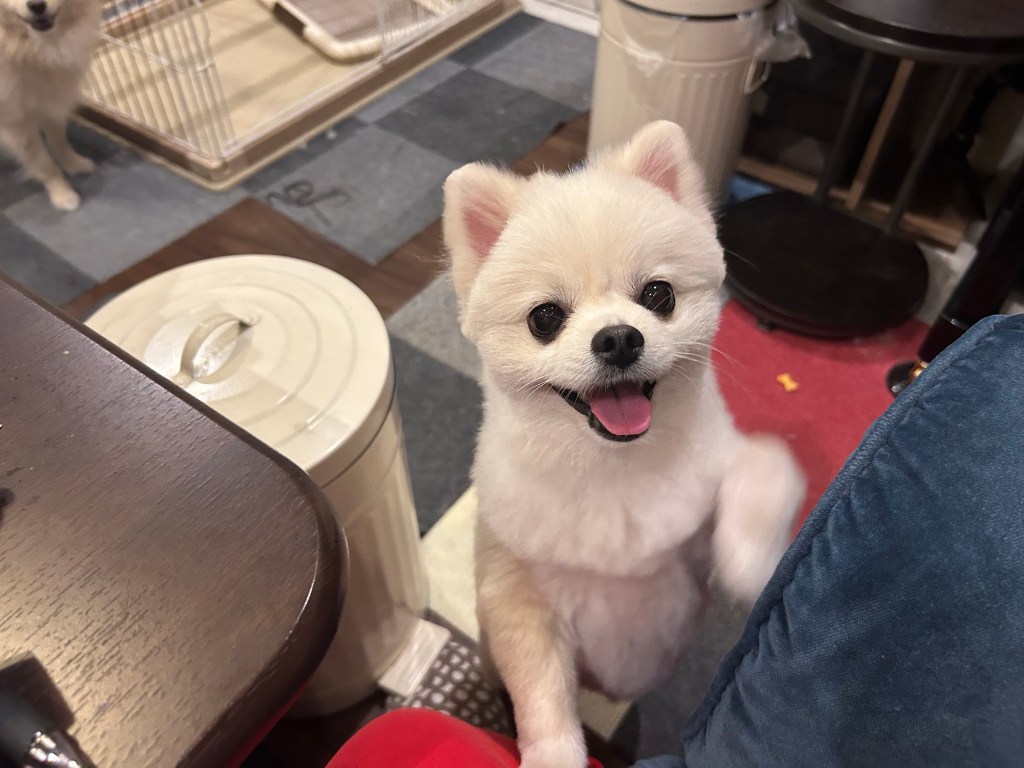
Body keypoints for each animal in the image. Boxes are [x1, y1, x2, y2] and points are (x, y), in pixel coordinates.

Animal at [1, 0, 100, 210]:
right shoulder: (17, 124)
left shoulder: (50, 104)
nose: (37, 5)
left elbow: (59, 141)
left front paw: (74, 164)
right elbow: (44, 163)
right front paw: (62, 194)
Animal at [443, 121, 805, 768]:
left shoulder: (703, 508)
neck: (613, 464)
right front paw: (555, 756)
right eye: (544, 317)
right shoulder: (520, 594)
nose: (617, 338)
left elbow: (764, 465)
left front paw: (749, 561)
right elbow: (542, 695)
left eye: (658, 295)